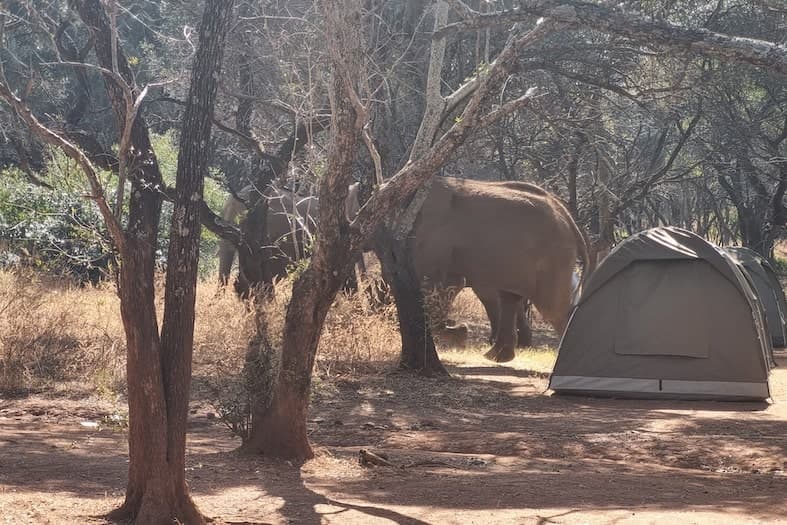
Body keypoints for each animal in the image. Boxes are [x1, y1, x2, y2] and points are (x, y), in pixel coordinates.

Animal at [408, 177, 592, 363]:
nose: (461, 327)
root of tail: (569, 219)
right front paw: (459, 334)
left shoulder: (433, 244)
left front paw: (459, 335)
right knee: (509, 298)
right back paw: (496, 355)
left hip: (552, 257)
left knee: (553, 310)